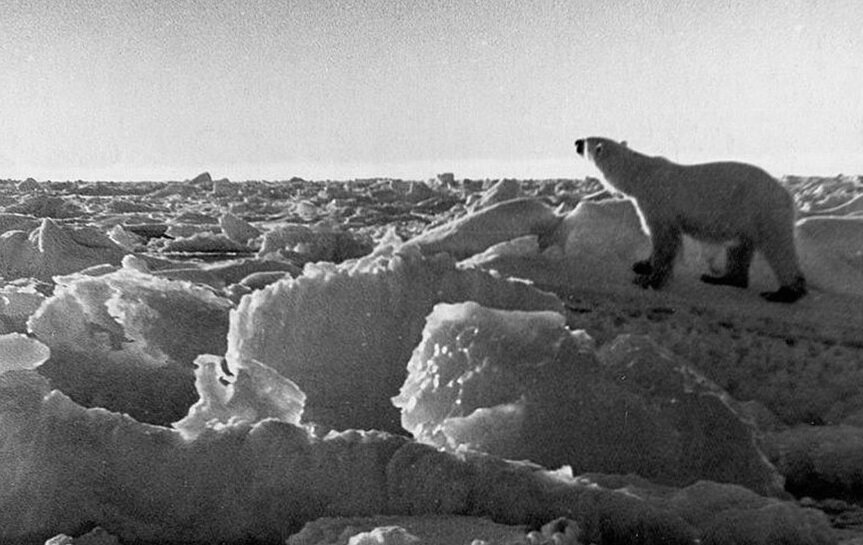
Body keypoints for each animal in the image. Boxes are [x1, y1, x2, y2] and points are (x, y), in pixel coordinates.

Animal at [576, 137, 808, 302]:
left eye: (587, 141)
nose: (576, 142)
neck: (641, 175)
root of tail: (788, 195)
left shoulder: (658, 202)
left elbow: (664, 238)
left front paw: (649, 279)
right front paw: (641, 264)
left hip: (763, 211)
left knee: (779, 249)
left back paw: (784, 292)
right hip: (746, 220)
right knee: (739, 248)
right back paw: (721, 278)